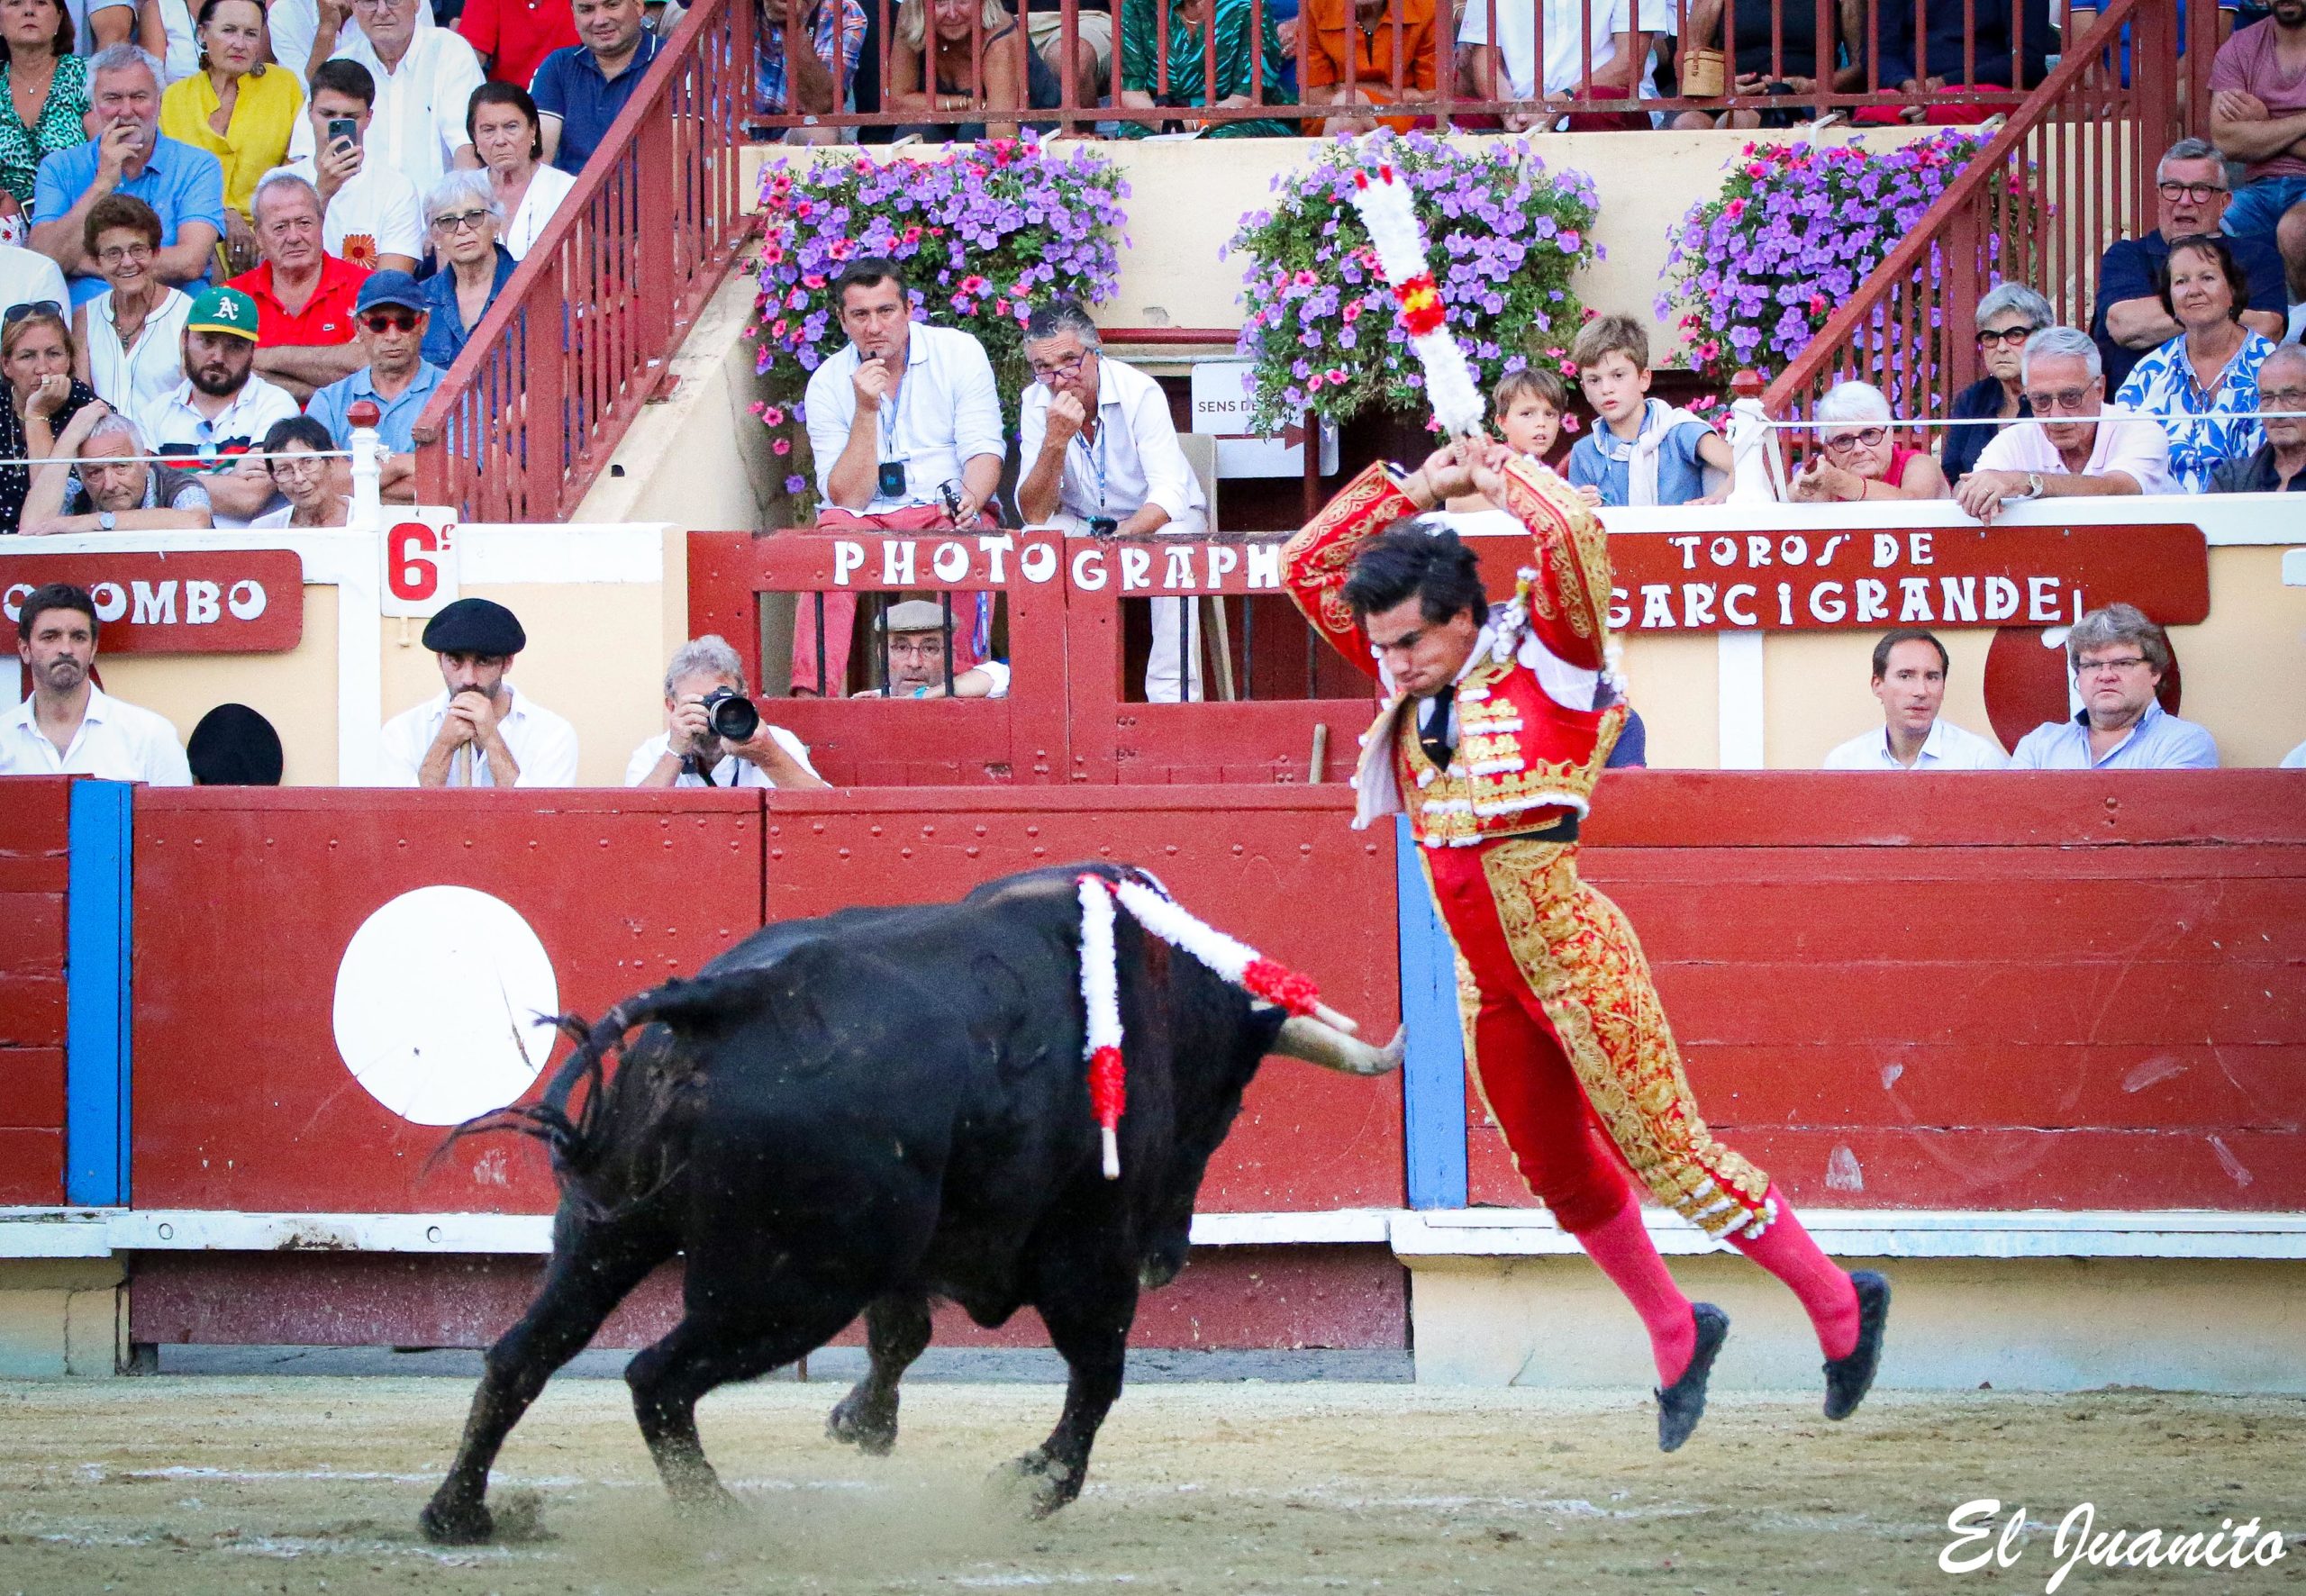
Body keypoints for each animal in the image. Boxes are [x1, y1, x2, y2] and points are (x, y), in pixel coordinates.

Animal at [419, 862, 1402, 1549]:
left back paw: (459, 1514)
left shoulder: (911, 1250)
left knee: (522, 1354)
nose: (1171, 1254)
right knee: (655, 1377)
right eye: (1224, 1106)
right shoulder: (1088, 1257)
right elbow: (1098, 1375)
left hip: (607, 1232)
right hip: (786, 1288)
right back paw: (722, 1520)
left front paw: (862, 1423)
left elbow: (904, 1333)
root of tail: (724, 998)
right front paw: (1028, 1485)